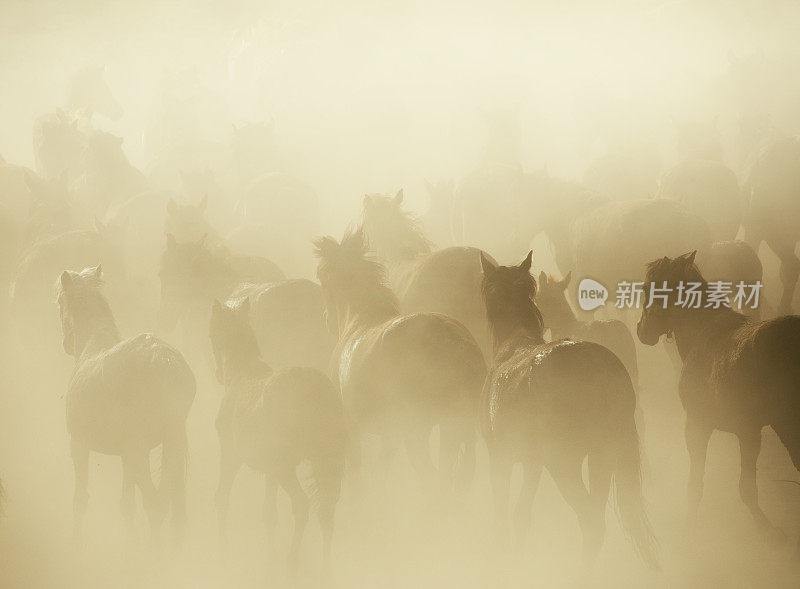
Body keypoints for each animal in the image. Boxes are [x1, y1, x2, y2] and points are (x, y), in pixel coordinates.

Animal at [56, 266, 195, 544]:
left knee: (155, 504)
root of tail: (163, 360)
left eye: (59, 301)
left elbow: (80, 500)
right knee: (174, 507)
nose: (66, 344)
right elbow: (126, 505)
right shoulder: (125, 456)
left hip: (139, 451)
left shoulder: (79, 445)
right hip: (169, 444)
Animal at [209, 296, 344, 572]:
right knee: (327, 511)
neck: (242, 372)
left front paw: (223, 553)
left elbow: (222, 498)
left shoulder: (231, 456)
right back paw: (325, 568)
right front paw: (270, 558)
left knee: (302, 505)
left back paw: (292, 561)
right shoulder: (269, 470)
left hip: (286, 468)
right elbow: (269, 514)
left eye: (212, 332)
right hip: (323, 462)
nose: (217, 373)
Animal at [316, 227, 484, 490]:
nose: (328, 320)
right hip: (453, 426)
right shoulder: (389, 435)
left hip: (419, 428)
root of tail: (455, 342)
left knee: (434, 476)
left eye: (322, 278)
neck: (360, 320)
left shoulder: (352, 427)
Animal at [478, 250, 660, 568]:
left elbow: (503, 513)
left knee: (590, 521)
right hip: (602, 456)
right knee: (595, 520)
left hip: (565, 462)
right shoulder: (532, 462)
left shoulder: (500, 456)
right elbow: (522, 512)